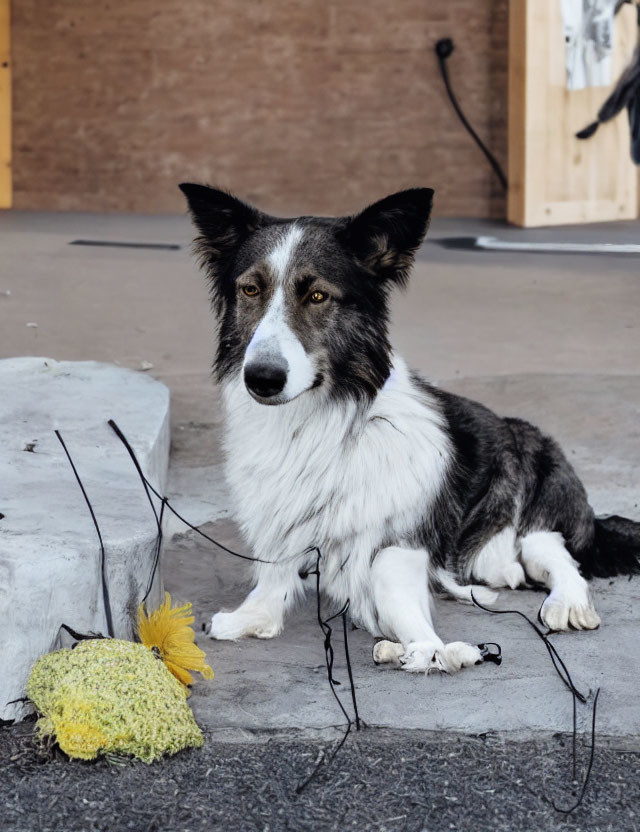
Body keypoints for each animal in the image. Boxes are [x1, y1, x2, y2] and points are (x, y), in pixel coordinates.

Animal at [180, 185, 640, 672]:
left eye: (318, 296)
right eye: (251, 289)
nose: (262, 379)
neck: (317, 419)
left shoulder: (398, 541)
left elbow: (390, 587)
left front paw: (426, 647)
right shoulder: (279, 517)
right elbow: (274, 572)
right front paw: (252, 617)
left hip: (539, 486)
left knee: (554, 554)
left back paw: (565, 602)